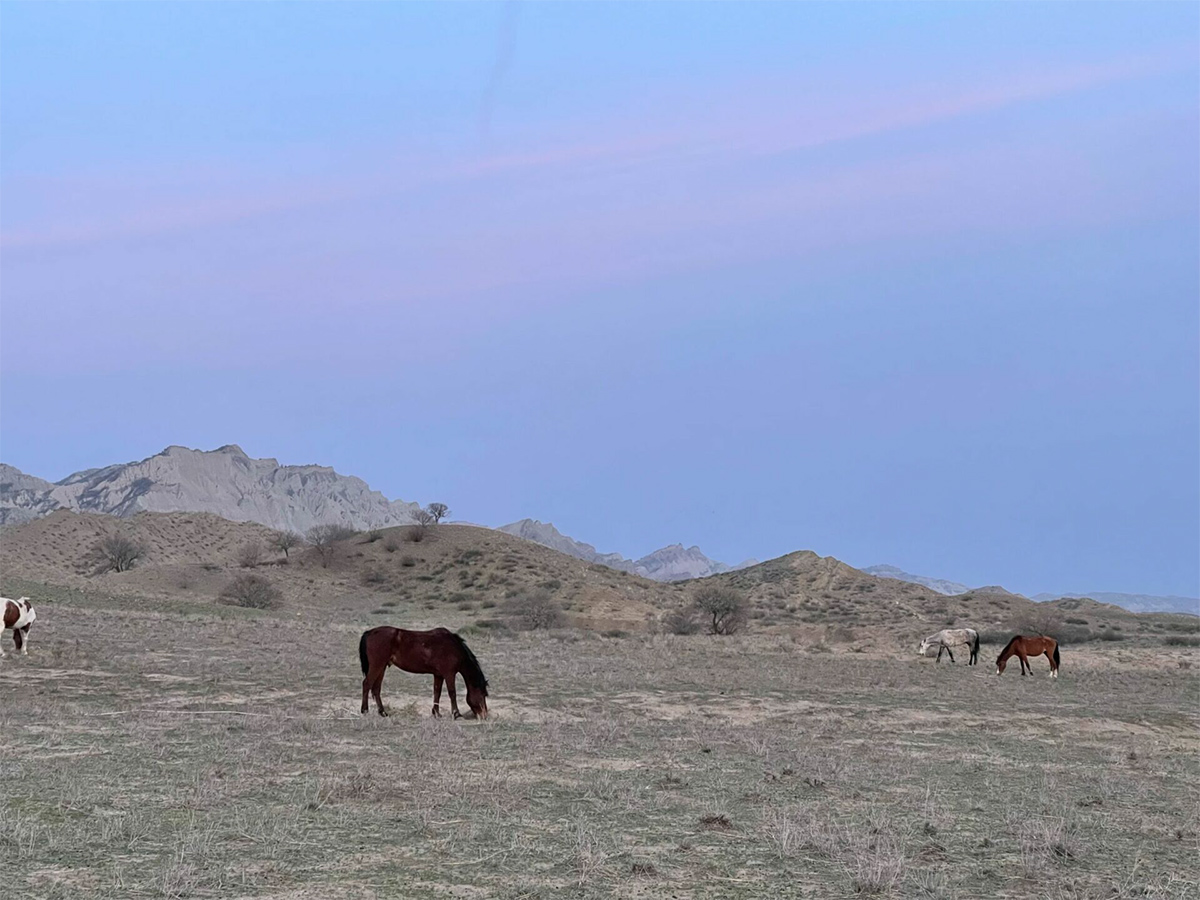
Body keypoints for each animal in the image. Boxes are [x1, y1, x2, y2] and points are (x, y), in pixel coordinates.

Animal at [359, 626, 489, 719]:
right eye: (483, 694)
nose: (484, 715)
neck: (454, 648)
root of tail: (370, 632)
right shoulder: (449, 674)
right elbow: (452, 693)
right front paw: (457, 714)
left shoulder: (438, 675)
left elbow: (437, 692)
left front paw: (436, 713)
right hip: (377, 665)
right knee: (366, 684)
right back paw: (364, 710)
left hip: (382, 667)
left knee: (376, 688)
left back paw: (383, 712)